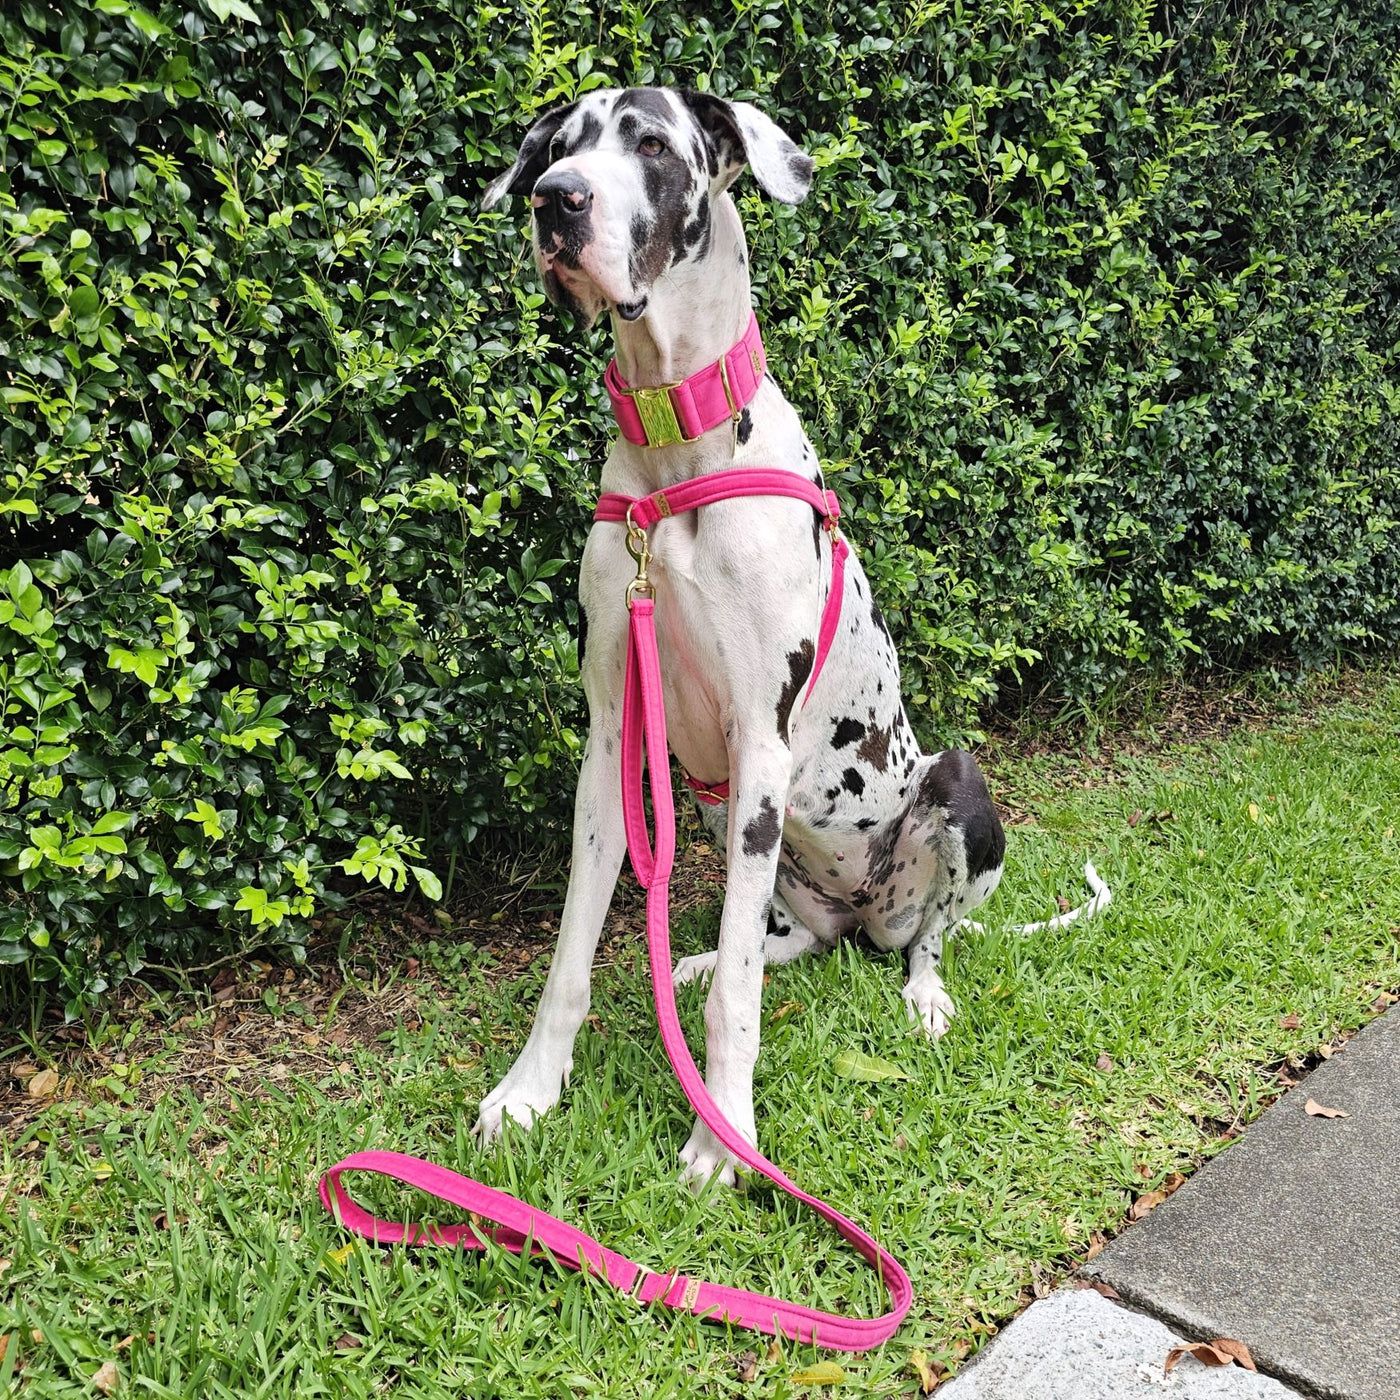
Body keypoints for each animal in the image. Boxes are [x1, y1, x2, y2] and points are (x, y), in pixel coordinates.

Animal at [476, 87, 1108, 1181]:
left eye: (651, 144)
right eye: (559, 146)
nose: (556, 200)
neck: (674, 445)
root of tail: (868, 916)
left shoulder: (760, 745)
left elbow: (742, 997)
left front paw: (721, 1132)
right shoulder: (611, 742)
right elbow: (571, 951)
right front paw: (530, 1090)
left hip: (952, 789)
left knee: (925, 933)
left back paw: (922, 991)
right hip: (751, 842)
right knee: (785, 942)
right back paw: (698, 960)